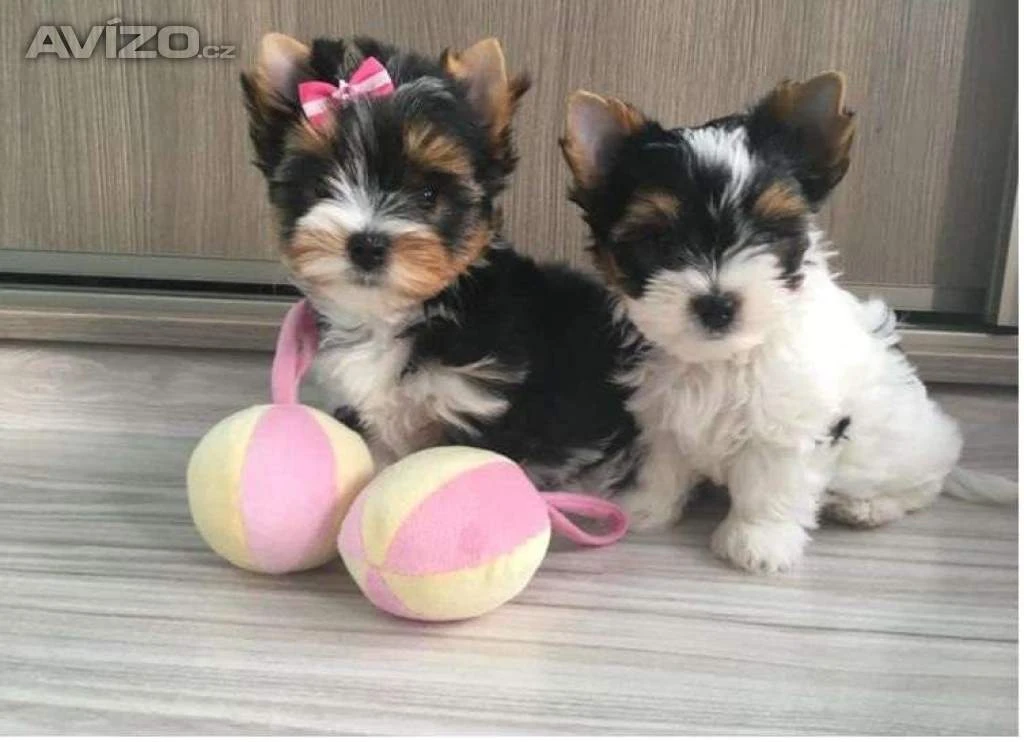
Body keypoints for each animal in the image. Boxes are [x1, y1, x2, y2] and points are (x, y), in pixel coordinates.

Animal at [560, 72, 1015, 573]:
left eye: (768, 233)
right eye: (659, 242)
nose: (716, 304)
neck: (724, 357)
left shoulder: (790, 418)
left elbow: (771, 480)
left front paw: (760, 540)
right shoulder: (664, 410)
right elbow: (664, 461)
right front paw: (646, 508)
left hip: (905, 450)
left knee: (920, 487)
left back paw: (867, 508)